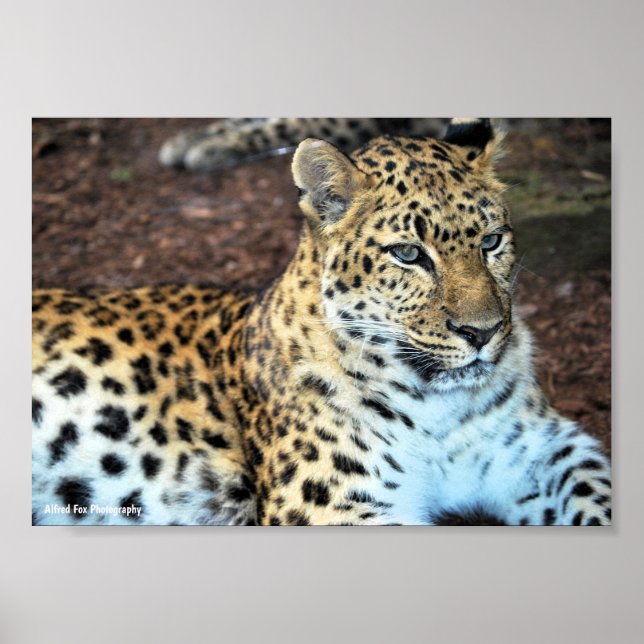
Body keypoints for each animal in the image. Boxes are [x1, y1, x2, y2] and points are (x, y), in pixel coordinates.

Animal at [32, 118, 611, 525]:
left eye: (491, 241)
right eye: (408, 254)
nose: (483, 332)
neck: (439, 408)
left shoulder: (547, 449)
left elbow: (598, 495)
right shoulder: (331, 505)